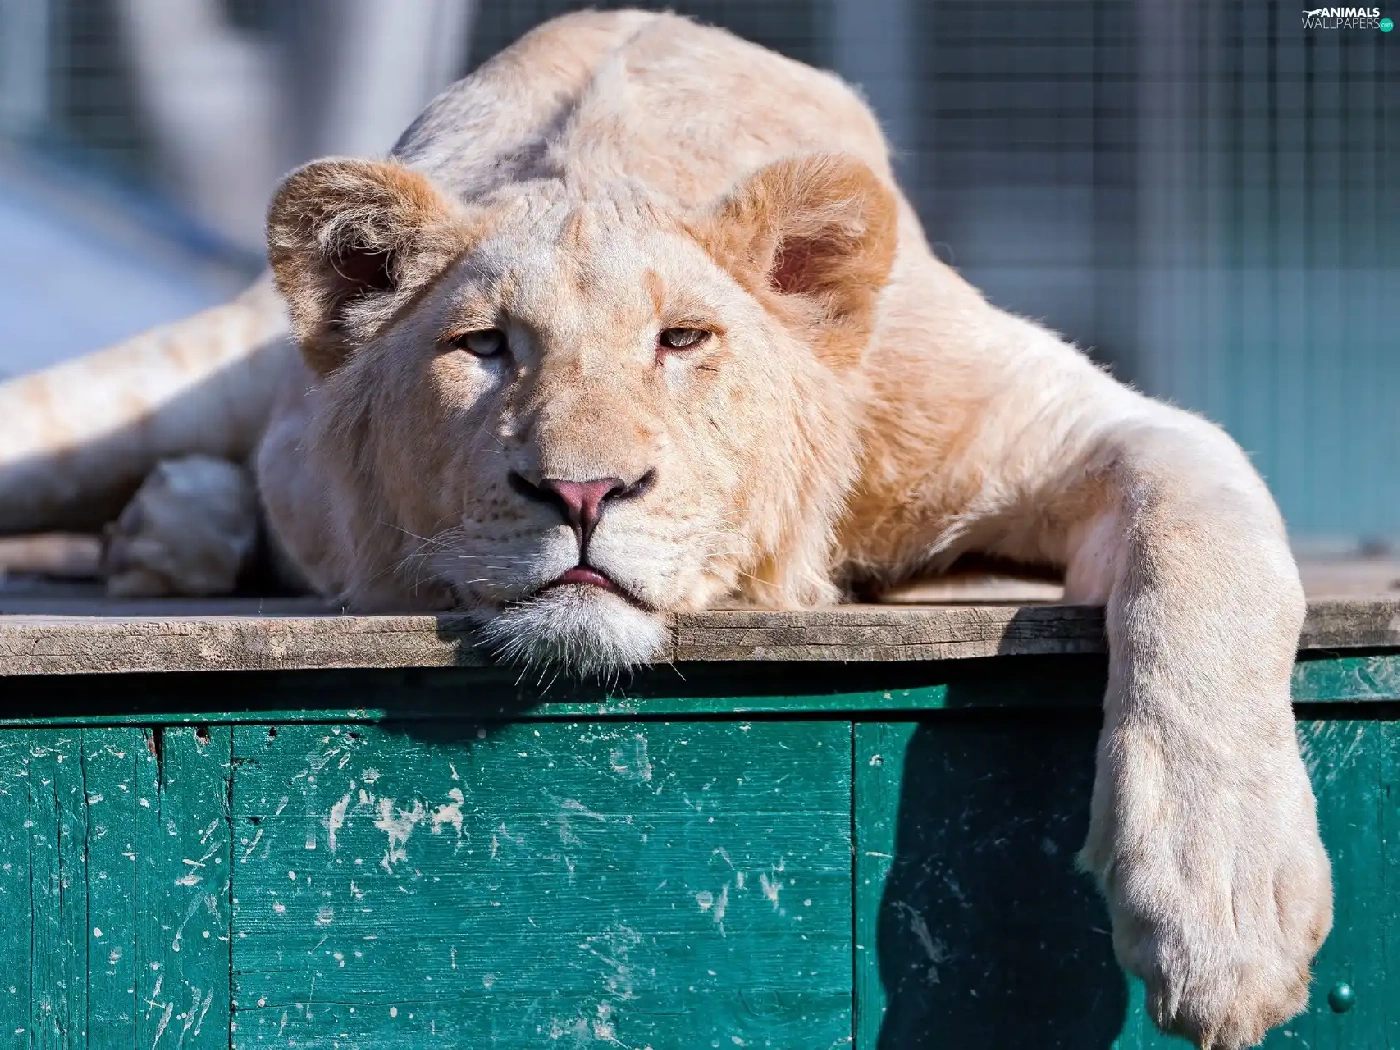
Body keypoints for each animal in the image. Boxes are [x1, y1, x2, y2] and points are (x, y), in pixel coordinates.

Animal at [0, 11, 1330, 1047]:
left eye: (682, 339)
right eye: (484, 345)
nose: (584, 495)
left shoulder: (1078, 422)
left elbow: (1208, 559)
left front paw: (1222, 906)